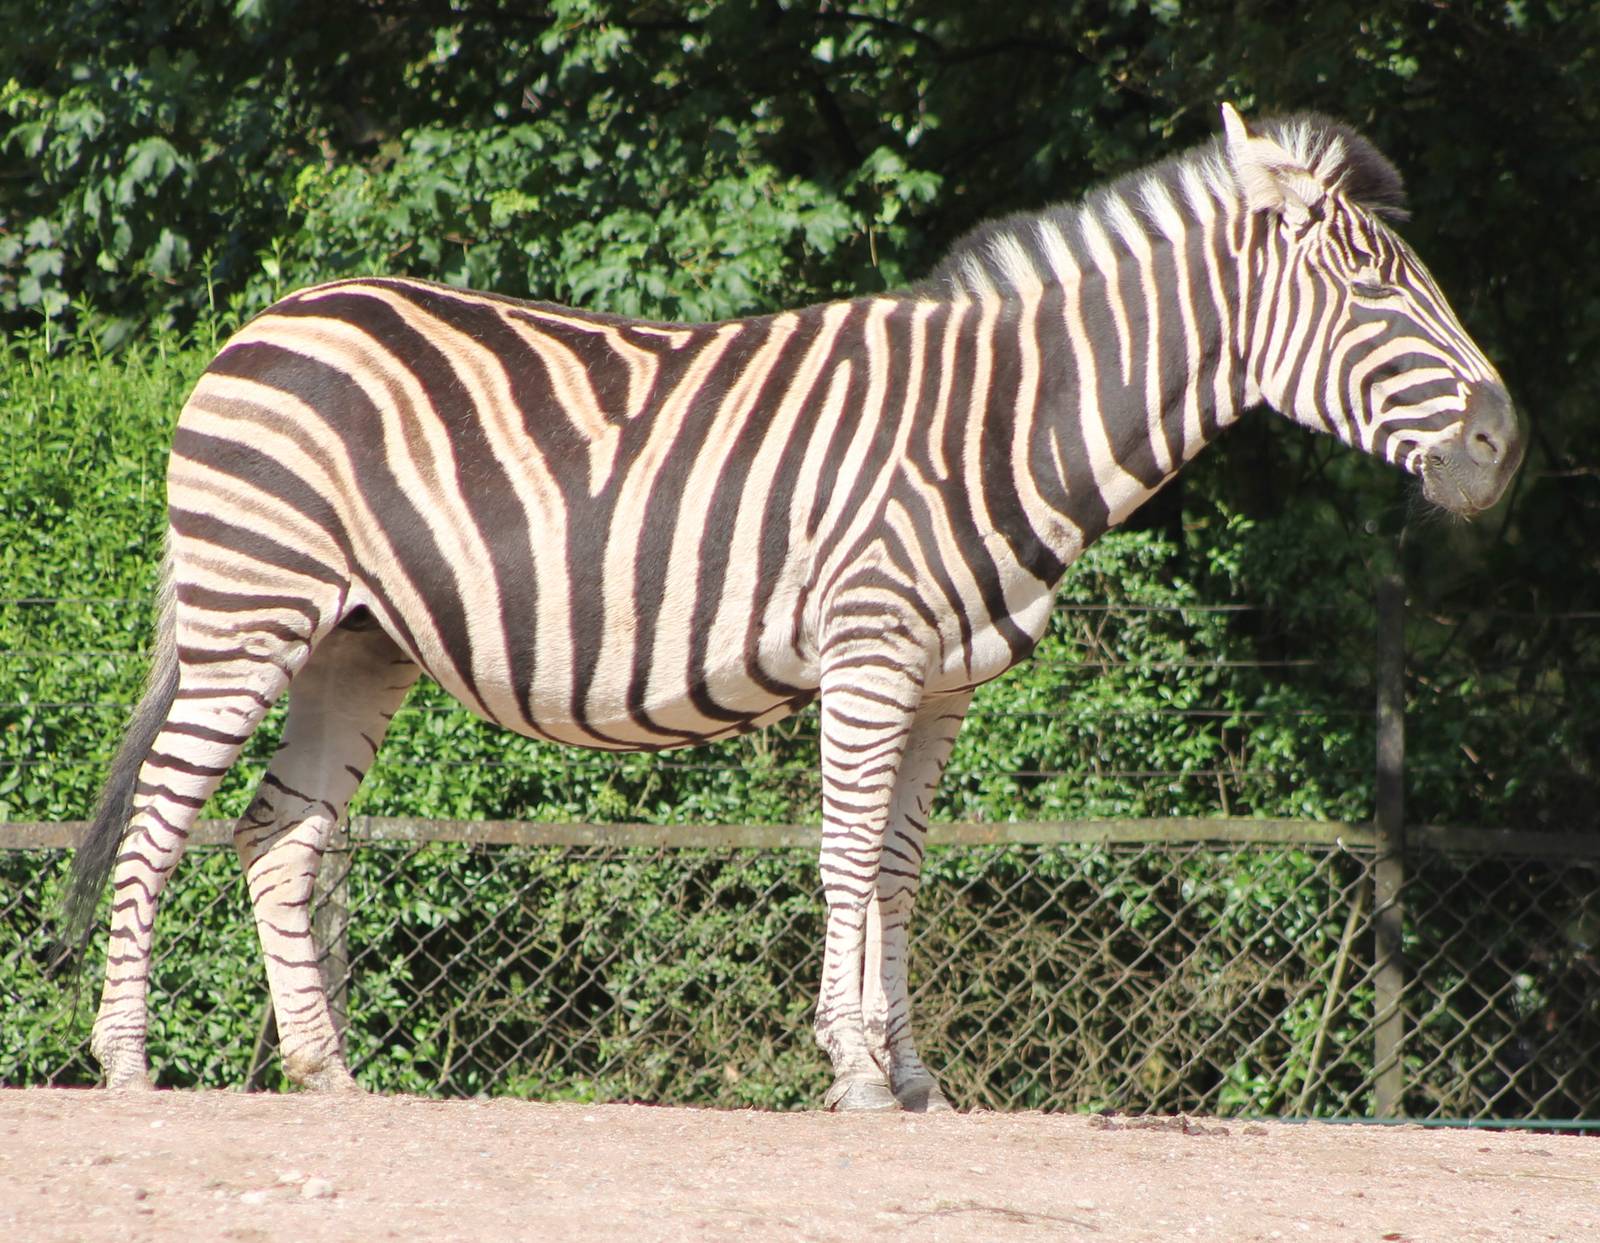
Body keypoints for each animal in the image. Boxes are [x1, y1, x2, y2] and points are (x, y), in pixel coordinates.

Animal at [62, 104, 1520, 1110]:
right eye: (1378, 288)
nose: (1504, 446)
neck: (1001, 420)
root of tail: (265, 322)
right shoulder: (871, 649)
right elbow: (842, 852)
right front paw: (854, 1071)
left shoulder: (943, 681)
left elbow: (901, 866)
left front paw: (913, 1075)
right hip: (252, 613)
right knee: (159, 818)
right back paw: (126, 1059)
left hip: (356, 641)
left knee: (276, 834)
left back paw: (324, 1072)